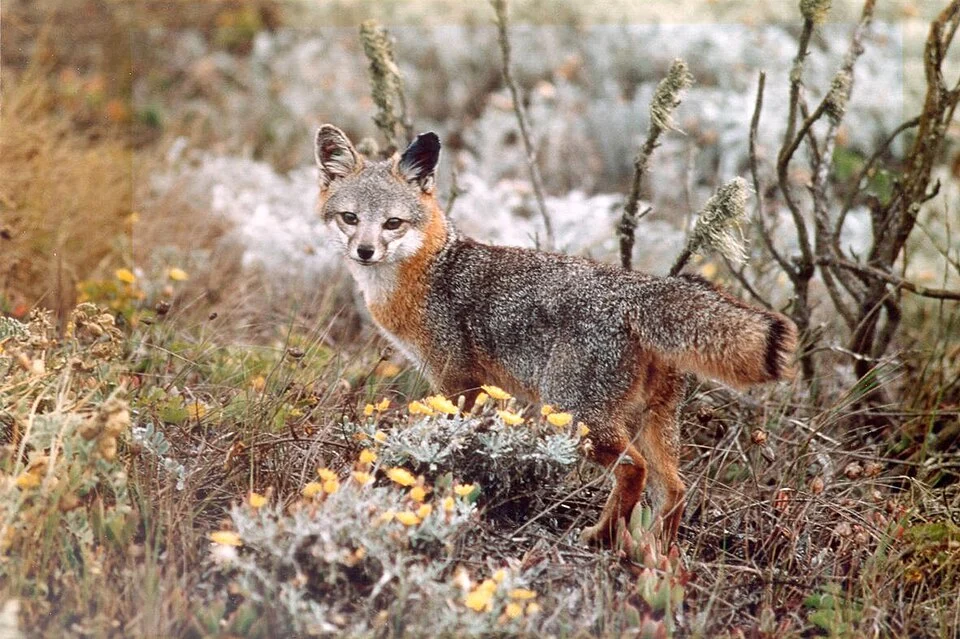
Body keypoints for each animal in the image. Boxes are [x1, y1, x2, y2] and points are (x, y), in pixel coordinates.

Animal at [315, 124, 798, 548]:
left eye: (393, 224)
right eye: (350, 218)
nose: (365, 251)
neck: (430, 272)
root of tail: (639, 288)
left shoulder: (456, 380)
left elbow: (449, 436)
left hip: (576, 414)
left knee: (634, 471)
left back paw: (601, 537)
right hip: (652, 423)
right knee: (675, 488)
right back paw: (655, 554)